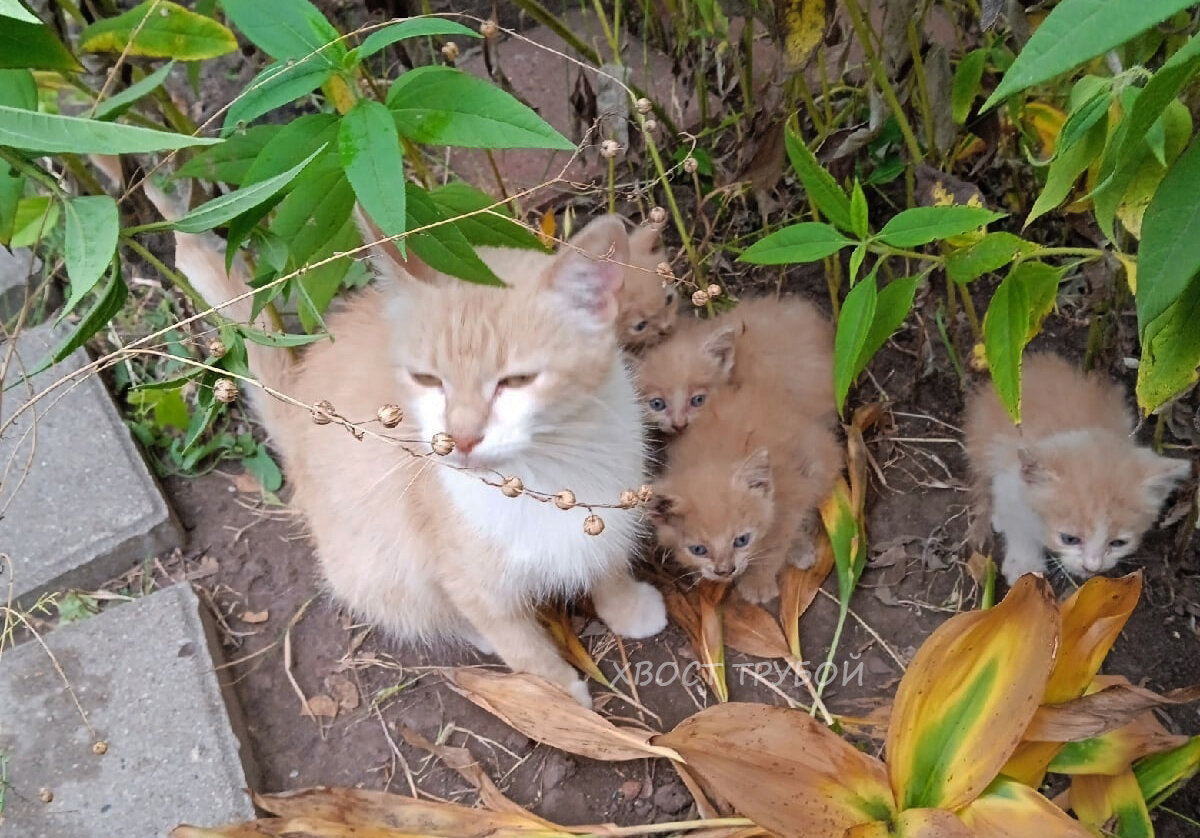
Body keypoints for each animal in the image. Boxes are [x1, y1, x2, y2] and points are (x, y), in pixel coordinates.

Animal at [170, 192, 672, 701]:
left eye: (517, 381)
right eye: (428, 379)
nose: (461, 437)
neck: (548, 467)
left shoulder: (612, 499)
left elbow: (607, 561)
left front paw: (627, 606)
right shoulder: (466, 575)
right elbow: (517, 640)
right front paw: (556, 698)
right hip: (371, 558)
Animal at [648, 376, 844, 600]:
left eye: (742, 540)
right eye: (698, 550)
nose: (725, 571)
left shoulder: (790, 498)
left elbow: (775, 543)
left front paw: (757, 582)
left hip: (817, 463)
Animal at [964, 350, 1190, 581]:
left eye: (1118, 543)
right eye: (1069, 539)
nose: (1092, 567)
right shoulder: (1009, 481)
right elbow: (1017, 522)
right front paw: (1024, 565)